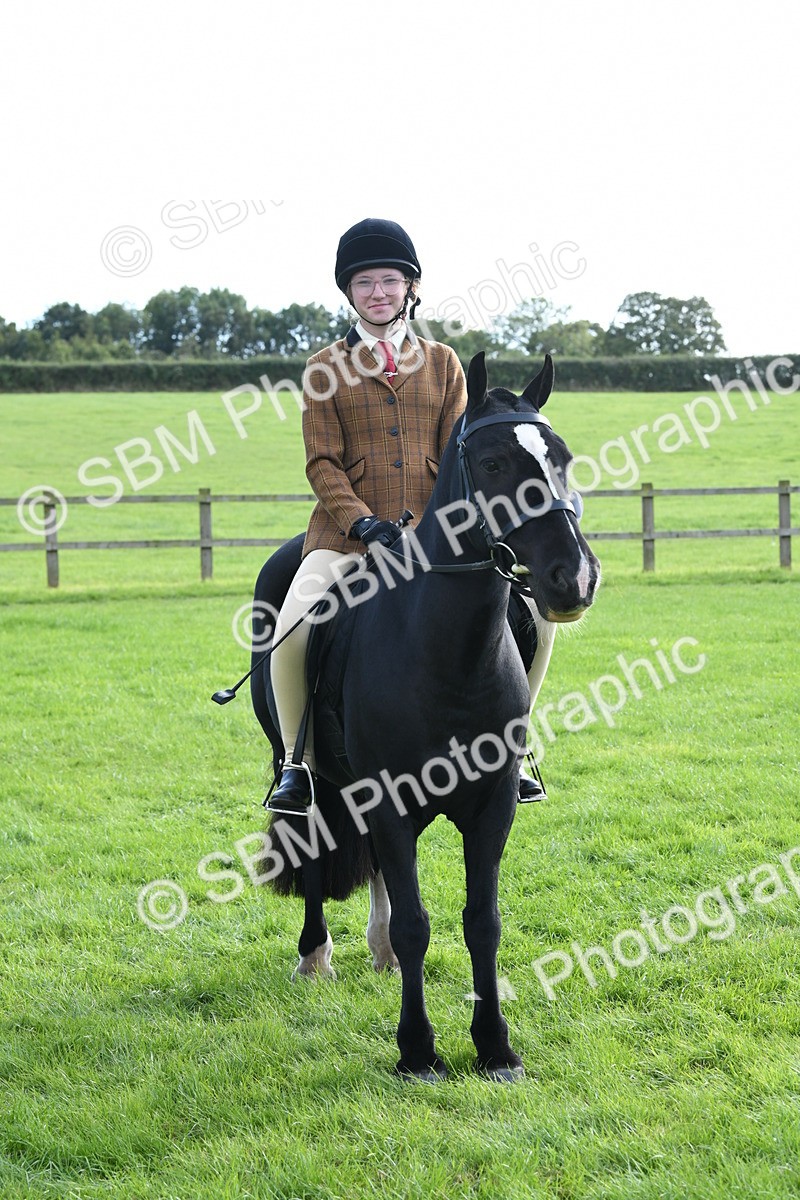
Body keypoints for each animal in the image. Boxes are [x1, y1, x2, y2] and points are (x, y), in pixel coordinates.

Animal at [248, 351, 600, 1081]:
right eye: (492, 463)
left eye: (561, 458)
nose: (573, 579)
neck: (447, 651)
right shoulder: (387, 796)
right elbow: (417, 922)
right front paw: (416, 1050)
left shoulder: (493, 802)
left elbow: (481, 921)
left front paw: (495, 1046)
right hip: (308, 773)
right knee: (315, 849)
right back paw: (314, 955)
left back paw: (377, 951)